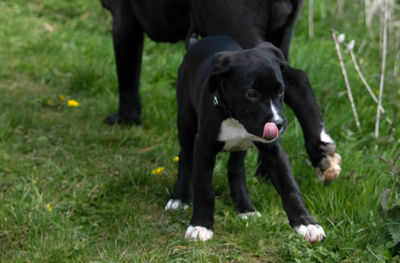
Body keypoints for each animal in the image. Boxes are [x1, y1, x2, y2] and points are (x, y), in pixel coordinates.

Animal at [100, 0, 340, 186]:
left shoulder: (123, 18)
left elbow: (127, 75)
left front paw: (125, 119)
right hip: (278, 38)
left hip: (235, 28)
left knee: (294, 81)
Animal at [171, 35, 324, 243]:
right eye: (251, 94)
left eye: (281, 91)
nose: (278, 124)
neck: (235, 118)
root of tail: (196, 43)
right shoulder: (203, 148)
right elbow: (204, 189)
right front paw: (200, 225)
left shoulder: (273, 151)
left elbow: (290, 188)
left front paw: (307, 223)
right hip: (185, 119)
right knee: (185, 156)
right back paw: (179, 197)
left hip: (239, 147)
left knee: (236, 171)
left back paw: (245, 208)